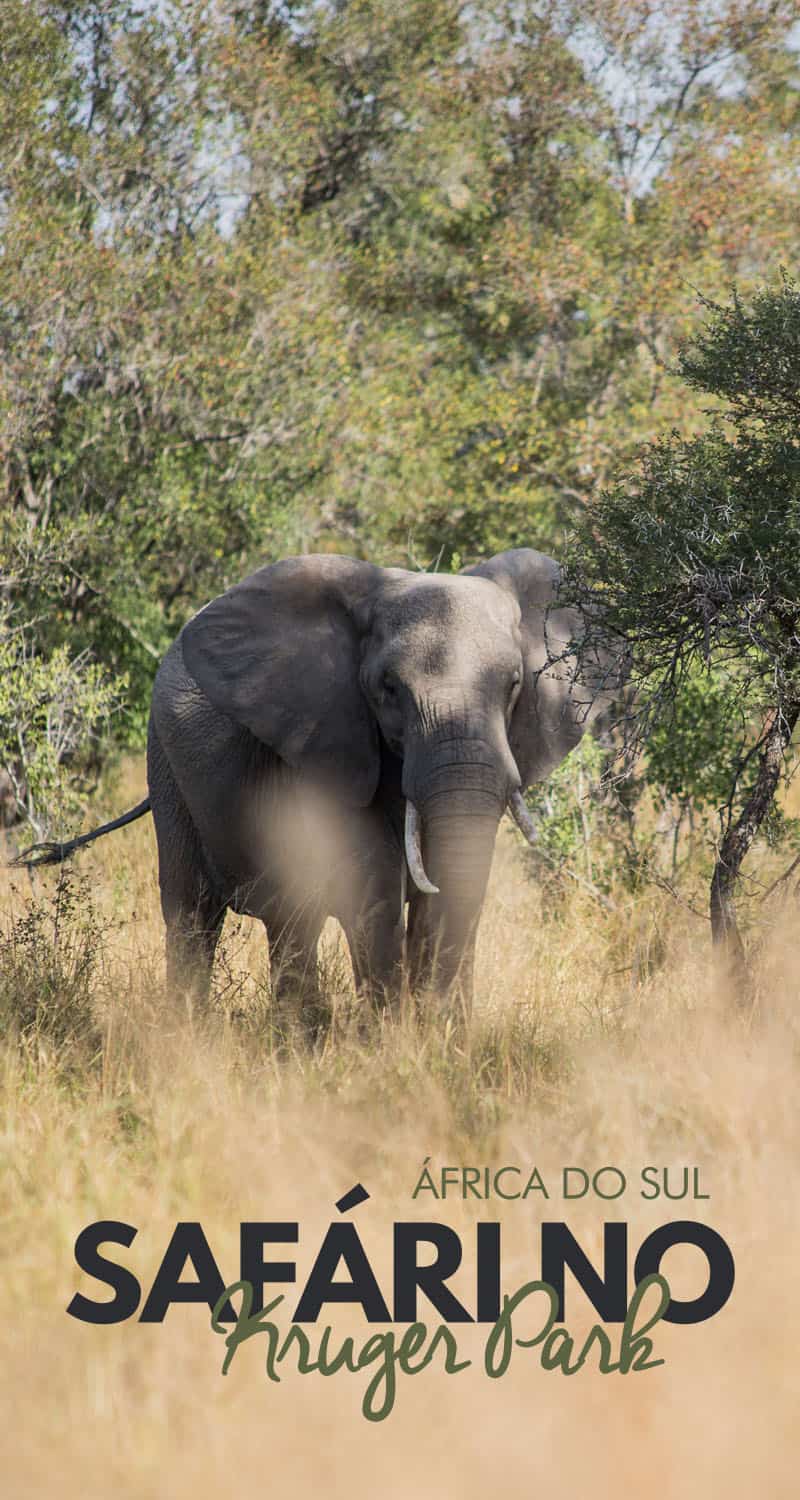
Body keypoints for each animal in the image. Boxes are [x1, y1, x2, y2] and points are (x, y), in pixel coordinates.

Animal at [15, 552, 621, 1020]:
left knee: (288, 921)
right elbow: (373, 886)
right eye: (389, 688)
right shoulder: (325, 743)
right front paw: (393, 1048)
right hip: (165, 763)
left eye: (514, 684)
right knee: (197, 914)